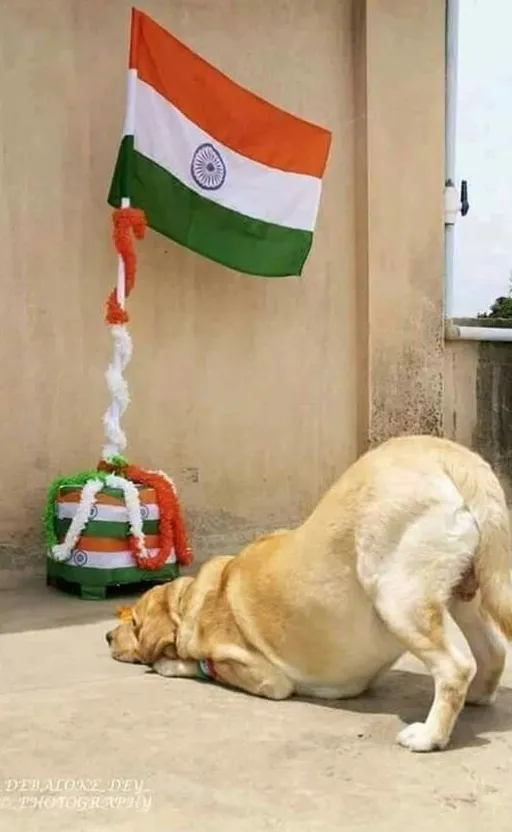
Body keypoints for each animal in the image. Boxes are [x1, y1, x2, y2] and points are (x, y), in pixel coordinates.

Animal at [105, 436, 512, 752]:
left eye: (133, 622)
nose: (108, 635)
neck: (198, 597)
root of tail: (447, 453)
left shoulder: (263, 676)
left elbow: (201, 666)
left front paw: (167, 663)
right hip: (464, 594)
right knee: (492, 649)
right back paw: (476, 696)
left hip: (398, 599)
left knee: (455, 667)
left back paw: (430, 735)